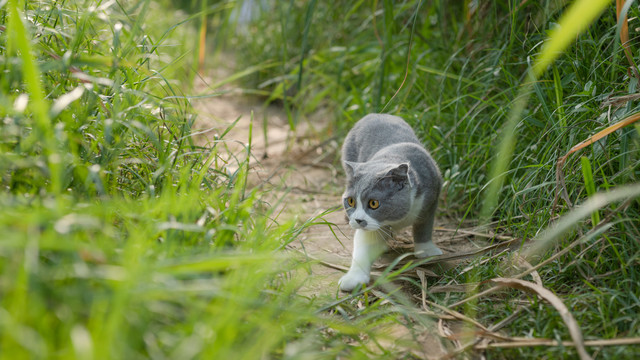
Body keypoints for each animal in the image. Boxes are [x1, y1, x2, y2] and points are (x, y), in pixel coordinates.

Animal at [338, 114, 442, 292]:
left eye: (374, 203)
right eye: (350, 201)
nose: (357, 220)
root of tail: (374, 114)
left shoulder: (431, 197)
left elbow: (424, 226)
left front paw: (427, 251)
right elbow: (363, 246)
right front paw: (353, 278)